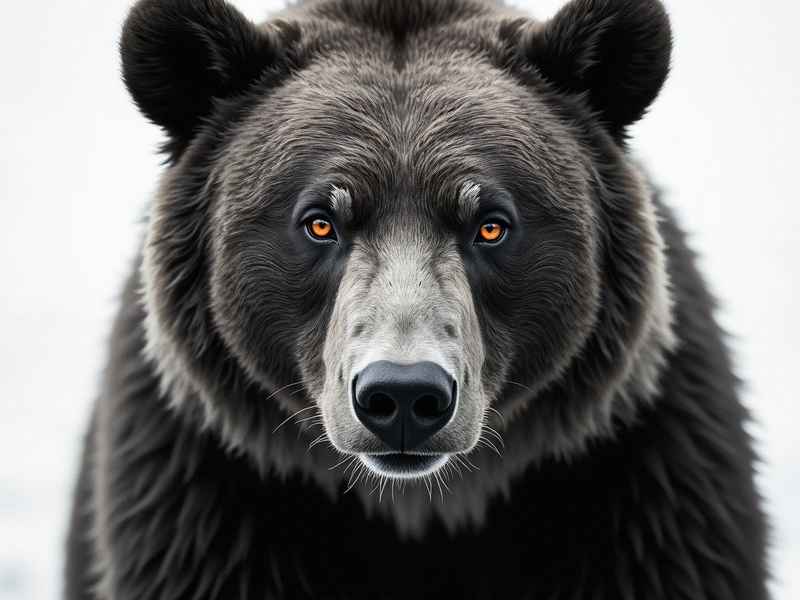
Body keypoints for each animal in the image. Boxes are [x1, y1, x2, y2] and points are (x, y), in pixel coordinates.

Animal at [64, 0, 770, 598]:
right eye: (320, 220)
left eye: (491, 223)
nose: (402, 396)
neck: (422, 508)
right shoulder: (205, 505)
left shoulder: (646, 496)